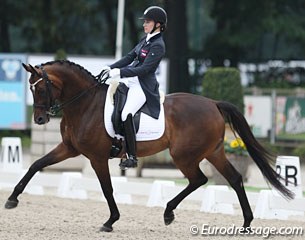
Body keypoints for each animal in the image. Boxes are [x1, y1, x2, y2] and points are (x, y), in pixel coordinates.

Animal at [5, 60, 292, 232]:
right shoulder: (69, 149)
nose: (40, 119)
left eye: (42, 88)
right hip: (213, 152)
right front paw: (12, 199)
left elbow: (107, 188)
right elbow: (36, 165)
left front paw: (110, 221)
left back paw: (169, 213)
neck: (84, 104)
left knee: (199, 179)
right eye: (31, 89)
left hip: (184, 155)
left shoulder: (96, 157)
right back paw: (245, 222)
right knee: (233, 179)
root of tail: (213, 103)